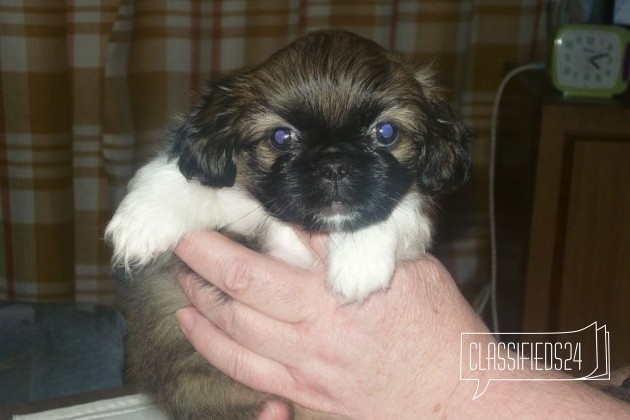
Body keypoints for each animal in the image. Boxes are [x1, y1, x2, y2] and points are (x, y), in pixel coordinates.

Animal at [106, 30, 474, 420]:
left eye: (386, 132)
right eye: (281, 137)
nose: (334, 164)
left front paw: (359, 258)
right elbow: (182, 175)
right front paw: (145, 218)